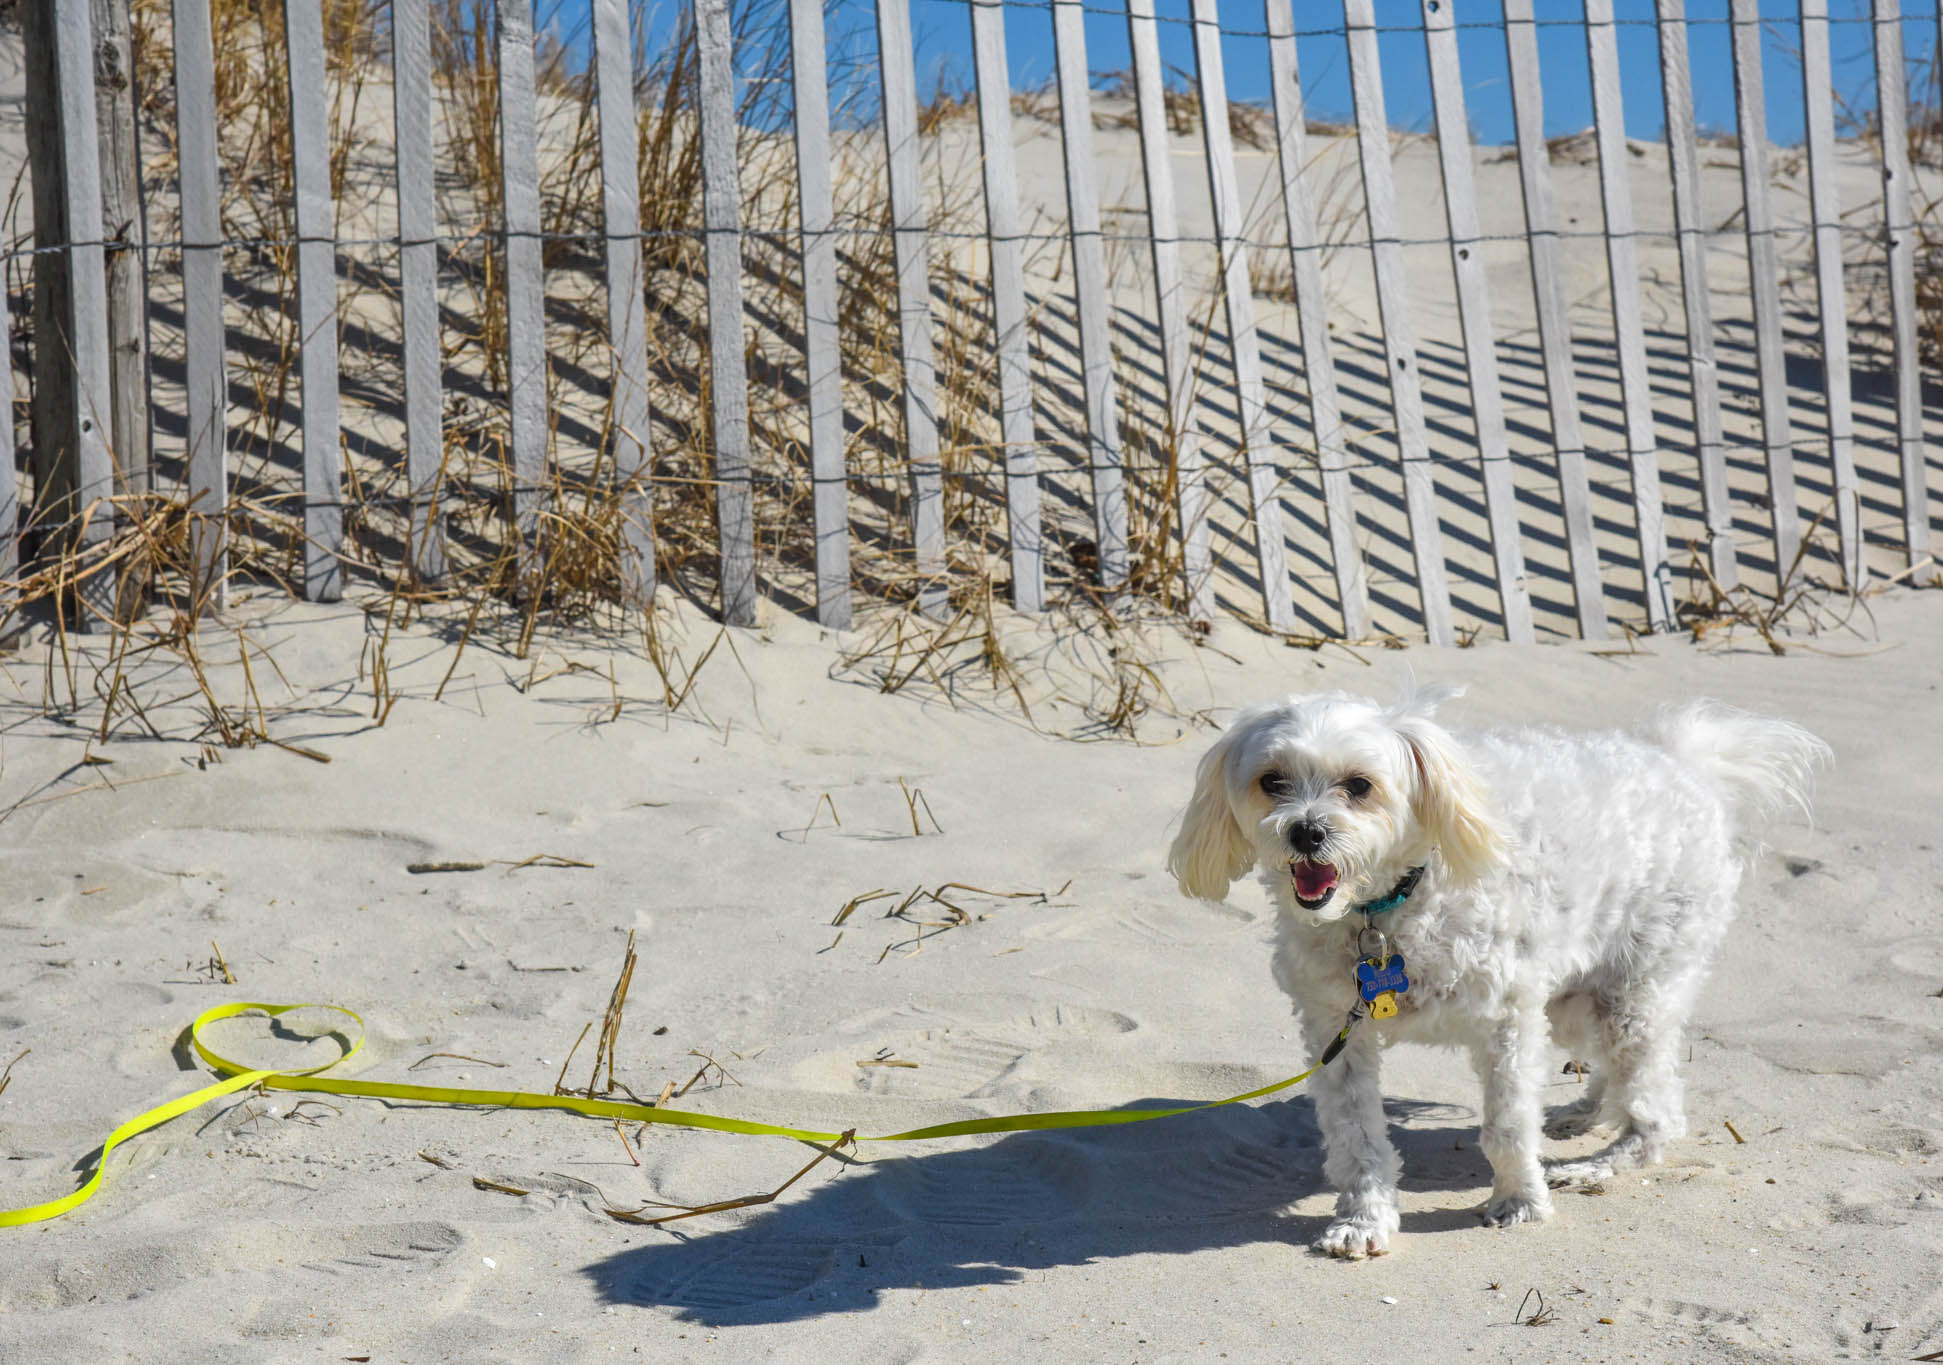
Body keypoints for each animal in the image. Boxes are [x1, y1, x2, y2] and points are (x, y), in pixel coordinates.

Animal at [1165, 683, 1818, 1258]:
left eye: (1359, 786)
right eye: (1271, 782)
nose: (1306, 832)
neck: (1392, 906)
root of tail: (1685, 762)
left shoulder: (1507, 1022)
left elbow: (1507, 1124)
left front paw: (1520, 1202)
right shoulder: (1336, 1031)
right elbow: (1356, 1138)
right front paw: (1363, 1219)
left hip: (1633, 992)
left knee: (1659, 1114)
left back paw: (1597, 1166)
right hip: (1576, 998)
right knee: (1616, 1074)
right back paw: (1584, 1114)